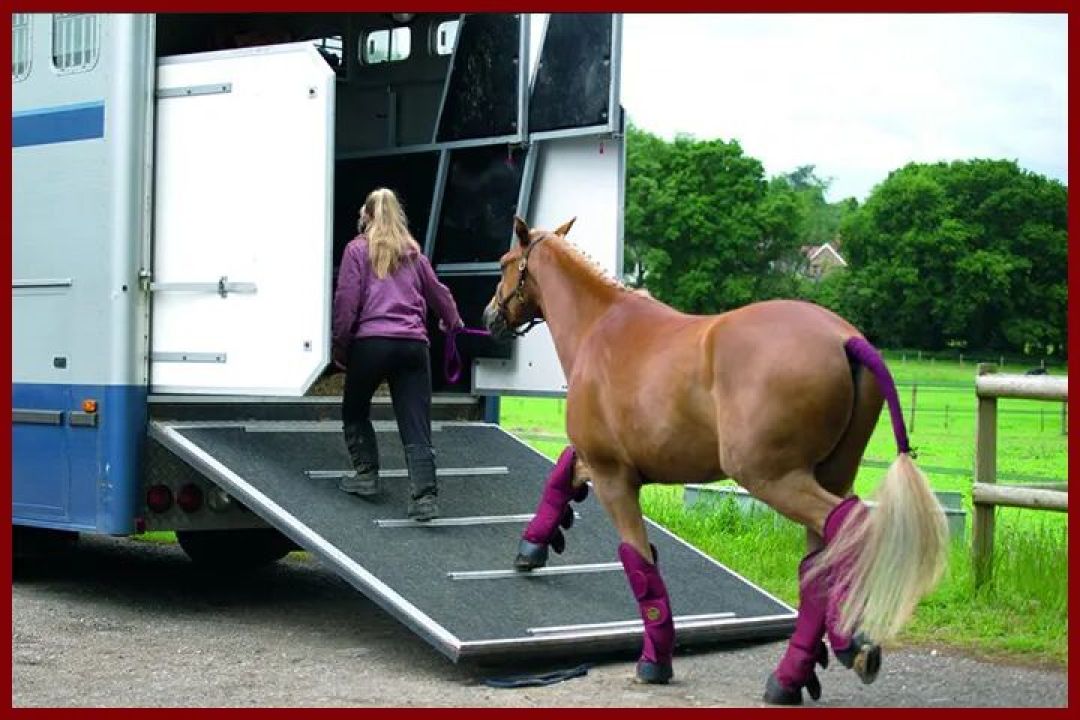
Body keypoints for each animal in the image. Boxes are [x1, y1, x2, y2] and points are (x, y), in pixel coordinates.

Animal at [481, 217, 949, 704]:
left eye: (505, 262)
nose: (489, 316)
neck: (600, 325)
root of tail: (846, 340)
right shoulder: (602, 461)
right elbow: (564, 472)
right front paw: (532, 546)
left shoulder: (614, 478)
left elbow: (640, 562)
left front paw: (655, 661)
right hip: (830, 475)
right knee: (820, 563)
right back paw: (793, 675)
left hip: (774, 479)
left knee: (850, 527)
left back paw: (845, 645)